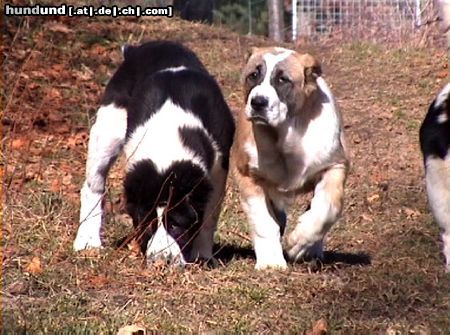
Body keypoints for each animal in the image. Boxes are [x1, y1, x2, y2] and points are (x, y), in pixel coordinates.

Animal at [73, 40, 236, 266]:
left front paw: (202, 255)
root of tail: (137, 50)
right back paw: (87, 241)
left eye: (176, 225)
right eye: (148, 224)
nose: (161, 261)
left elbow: (208, 214)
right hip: (108, 129)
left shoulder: (219, 167)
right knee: (93, 185)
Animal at [234, 47, 350, 270]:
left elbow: (328, 207)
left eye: (283, 79)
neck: (285, 135)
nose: (258, 102)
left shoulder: (334, 165)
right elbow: (264, 222)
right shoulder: (247, 176)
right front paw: (270, 261)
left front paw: (300, 243)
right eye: (253, 75)